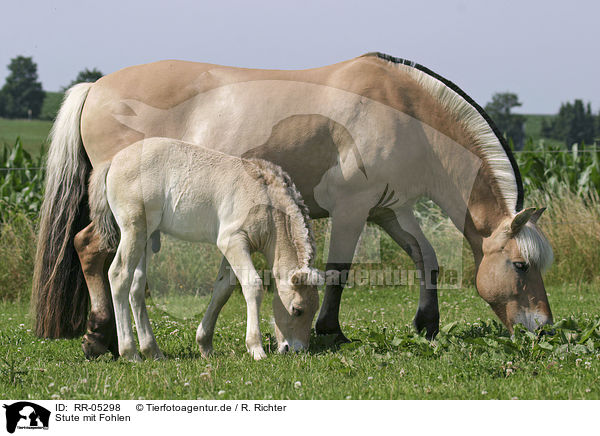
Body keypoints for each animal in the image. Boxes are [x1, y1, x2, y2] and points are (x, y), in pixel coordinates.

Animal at [34, 52, 552, 358]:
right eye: (521, 265)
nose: (544, 329)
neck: (402, 109)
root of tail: (94, 86)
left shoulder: (392, 210)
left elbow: (426, 258)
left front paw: (426, 324)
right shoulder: (352, 209)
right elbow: (339, 272)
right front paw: (330, 332)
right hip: (124, 219)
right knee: (93, 252)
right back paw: (101, 339)